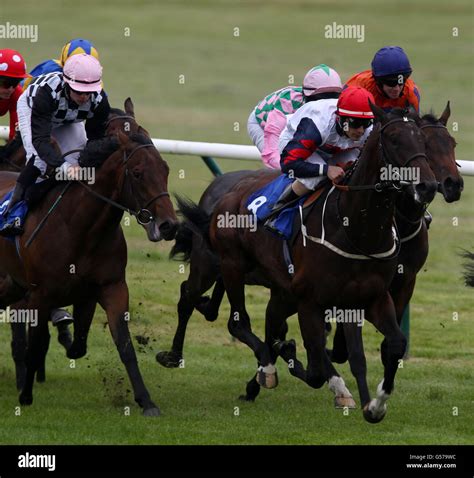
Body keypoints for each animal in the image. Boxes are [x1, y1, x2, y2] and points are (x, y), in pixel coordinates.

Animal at [0, 131, 178, 414]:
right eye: (137, 173)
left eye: (166, 169)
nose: (169, 225)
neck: (80, 227)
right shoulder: (40, 294)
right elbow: (36, 343)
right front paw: (25, 395)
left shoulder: (111, 287)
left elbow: (117, 345)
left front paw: (146, 401)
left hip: (13, 286)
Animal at [166, 104, 436, 422]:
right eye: (393, 139)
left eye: (423, 140)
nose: (428, 186)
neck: (356, 229)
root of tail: (228, 194)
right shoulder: (311, 301)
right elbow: (317, 365)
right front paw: (337, 388)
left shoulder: (371, 297)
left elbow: (389, 346)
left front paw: (375, 404)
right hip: (227, 266)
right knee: (219, 312)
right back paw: (184, 357)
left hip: (279, 290)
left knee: (266, 324)